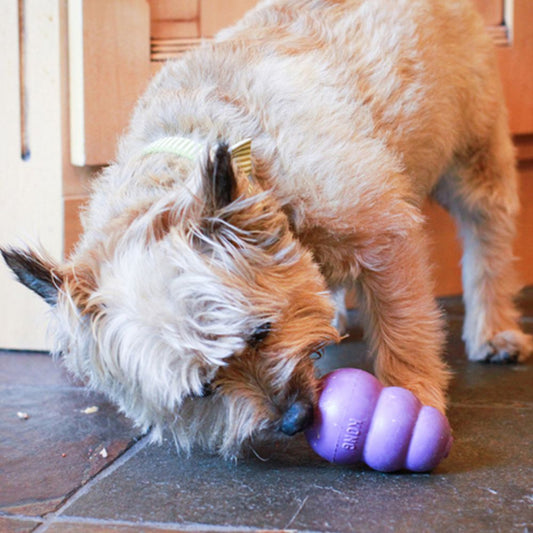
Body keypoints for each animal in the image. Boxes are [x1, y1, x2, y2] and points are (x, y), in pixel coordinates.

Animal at [2, 0, 528, 458]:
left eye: (261, 332)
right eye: (204, 388)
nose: (294, 419)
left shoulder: (384, 239)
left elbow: (405, 328)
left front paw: (412, 395)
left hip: (474, 158)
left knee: (489, 239)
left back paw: (494, 329)